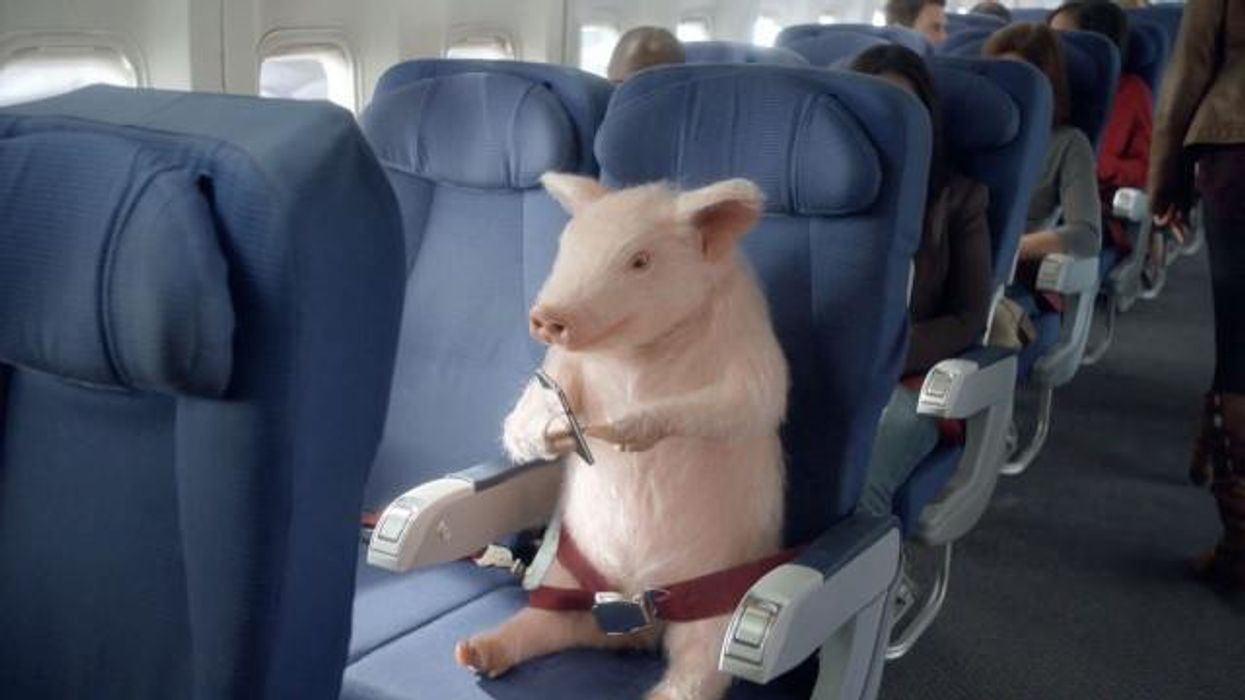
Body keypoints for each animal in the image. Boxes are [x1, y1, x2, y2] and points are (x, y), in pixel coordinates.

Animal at [454, 173, 790, 700]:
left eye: (640, 260)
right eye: (567, 245)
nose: (546, 315)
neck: (636, 359)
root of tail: (637, 608)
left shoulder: (753, 355)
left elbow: (744, 404)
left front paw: (622, 429)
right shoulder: (559, 368)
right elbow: (521, 416)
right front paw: (562, 434)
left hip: (722, 604)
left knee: (698, 666)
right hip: (567, 578)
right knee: (546, 624)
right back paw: (472, 651)